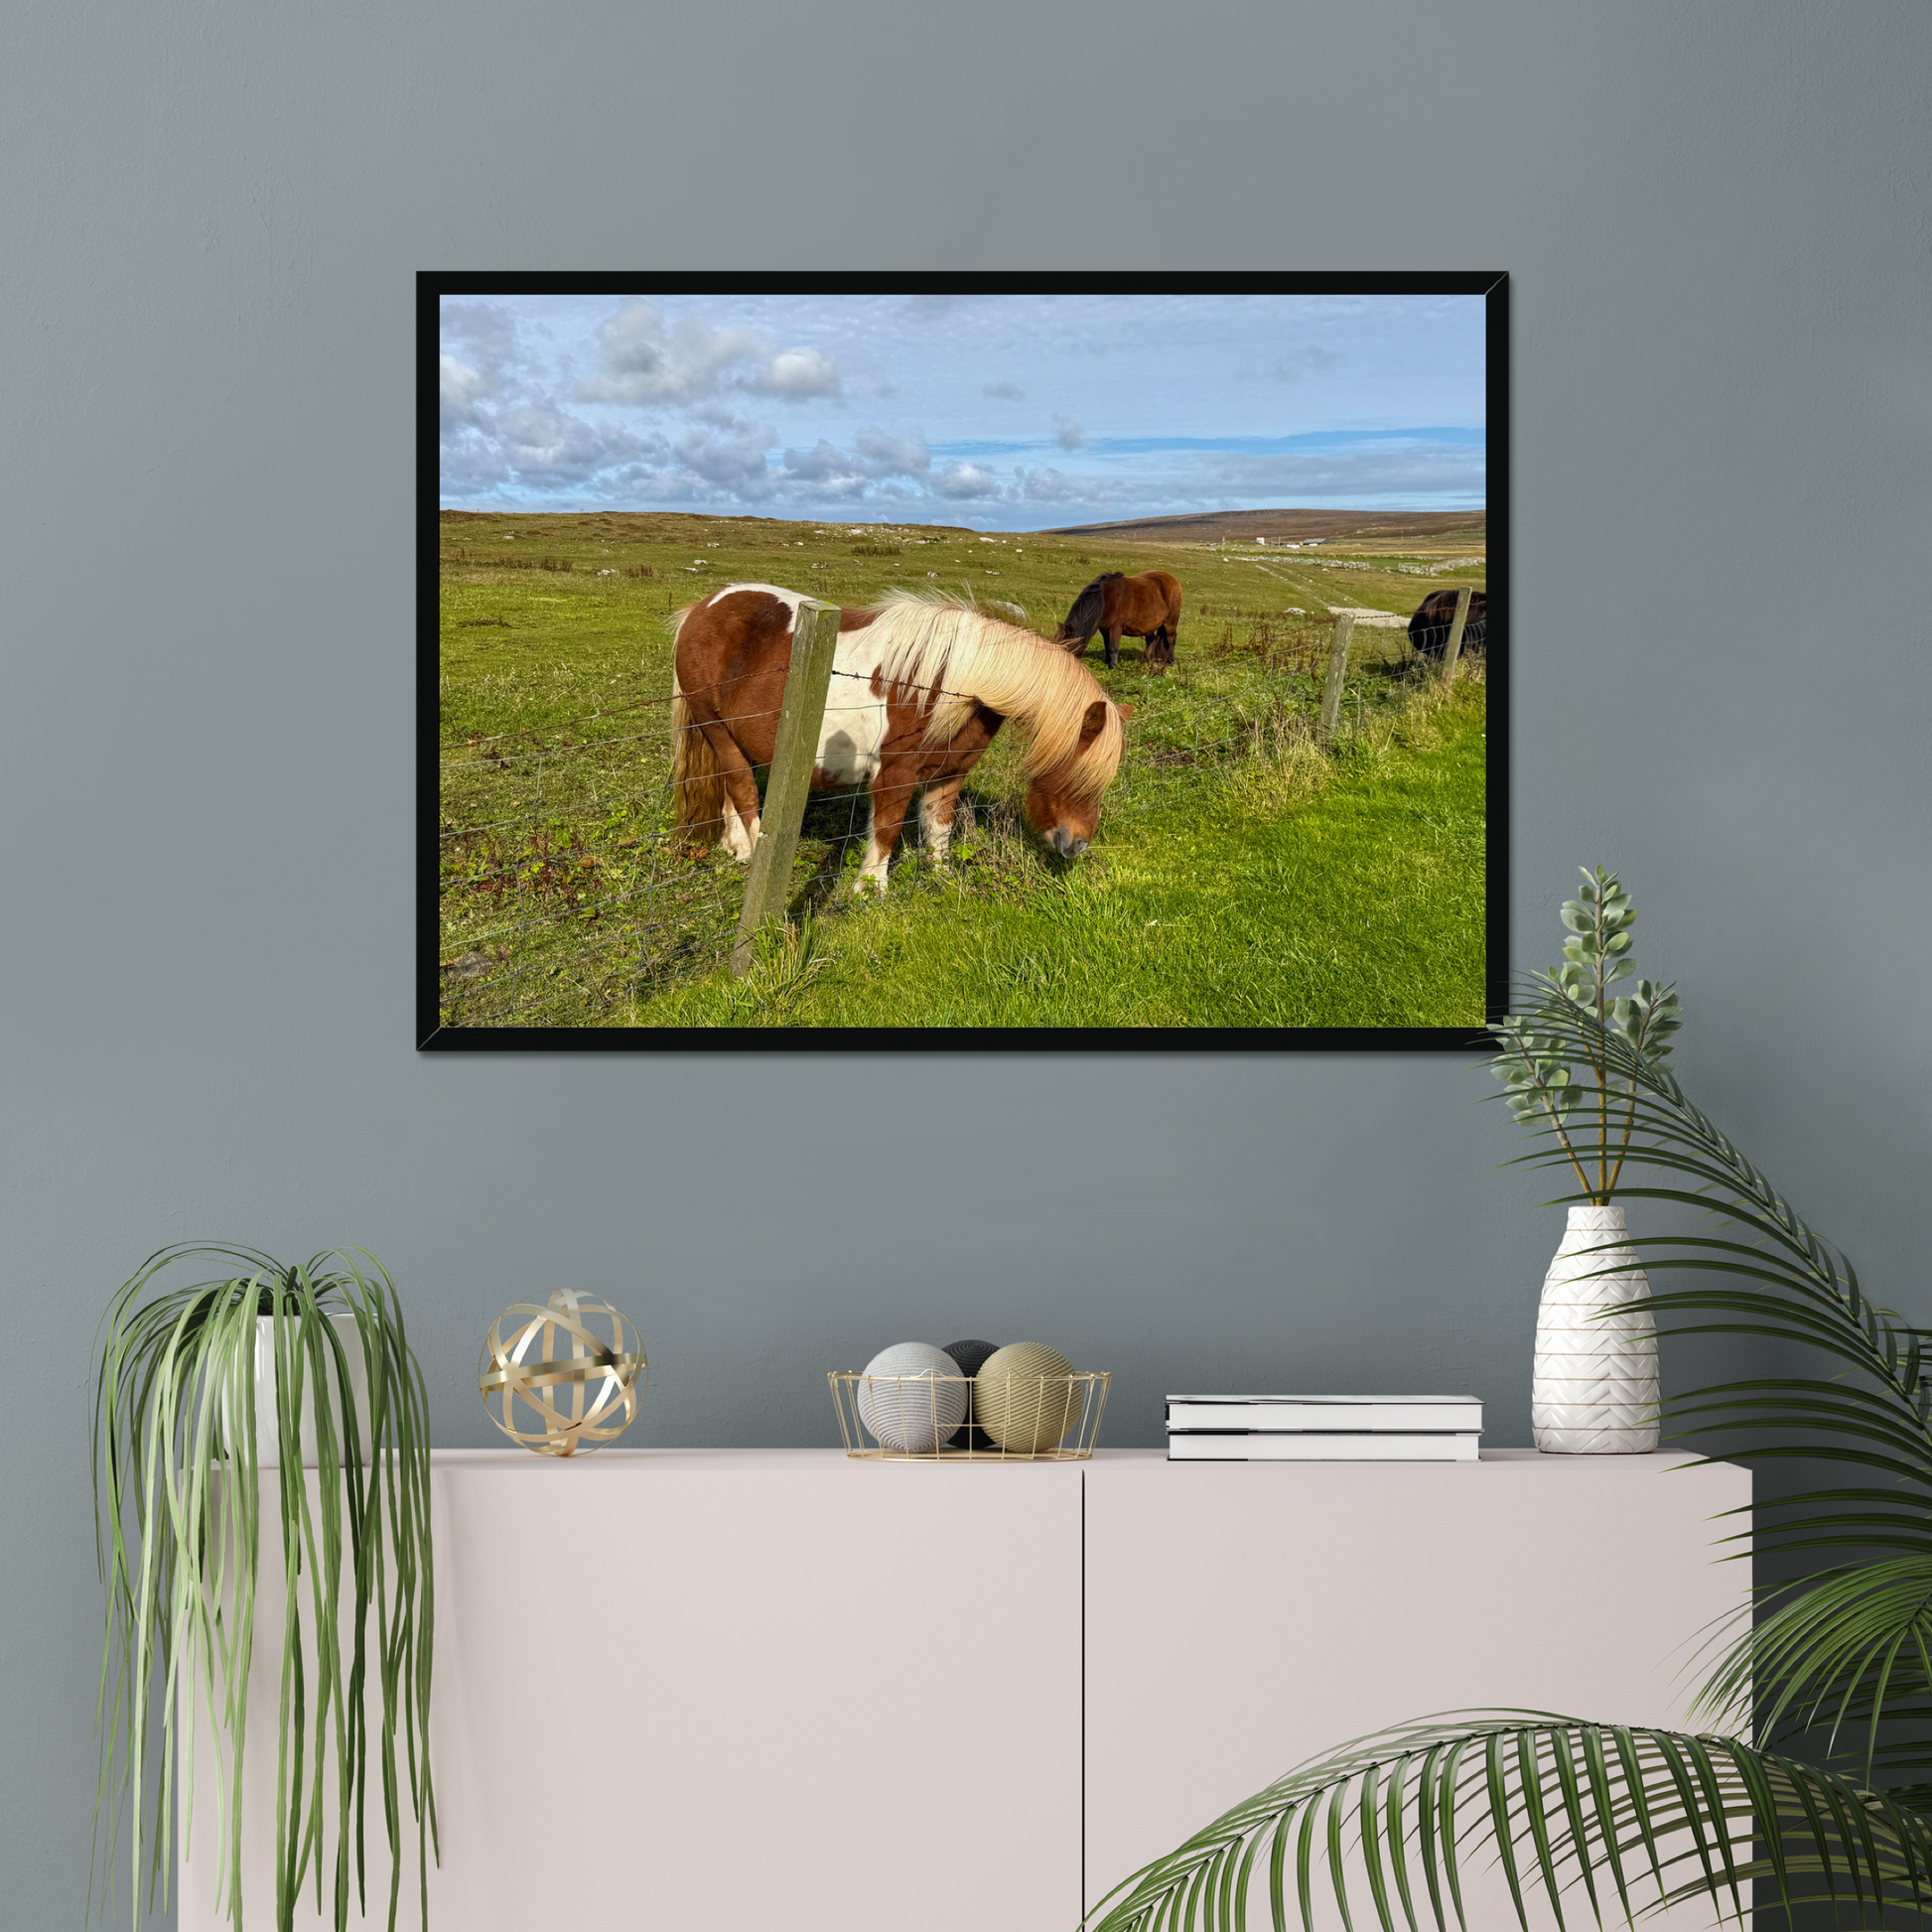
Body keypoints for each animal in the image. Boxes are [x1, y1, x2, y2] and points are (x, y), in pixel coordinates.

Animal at [670, 585, 1128, 893]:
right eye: (1074, 771)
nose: (1077, 846)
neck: (958, 684)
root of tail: (703, 608)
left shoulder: (949, 774)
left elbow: (939, 830)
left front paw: (941, 877)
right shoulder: (895, 774)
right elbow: (887, 830)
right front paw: (871, 891)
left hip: (733, 737)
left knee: (729, 788)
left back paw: (735, 847)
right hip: (716, 728)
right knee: (743, 790)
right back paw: (752, 853)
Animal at [1052, 570, 1183, 669]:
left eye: (1067, 646)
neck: (1105, 599)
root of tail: (1174, 580)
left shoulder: (1116, 628)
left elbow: (1113, 647)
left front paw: (1113, 666)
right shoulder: (1104, 629)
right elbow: (1107, 645)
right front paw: (1107, 662)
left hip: (1170, 622)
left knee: (1170, 640)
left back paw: (1170, 662)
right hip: (1149, 625)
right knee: (1151, 640)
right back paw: (1145, 660)